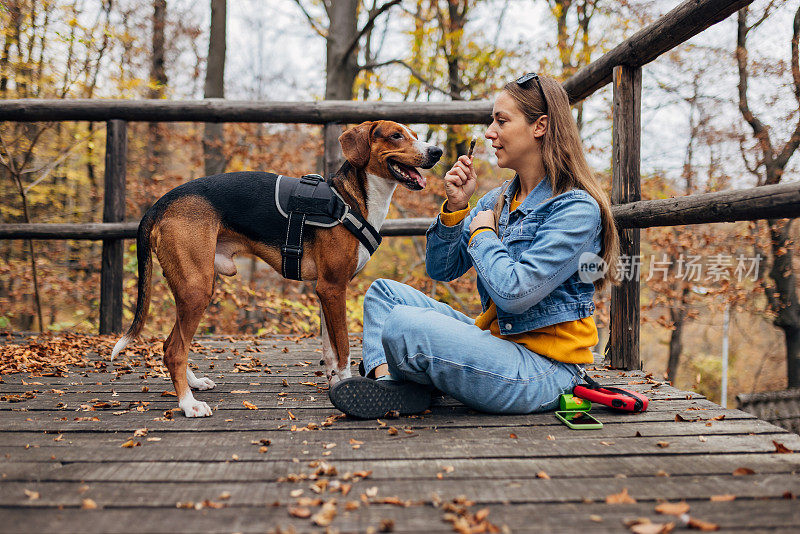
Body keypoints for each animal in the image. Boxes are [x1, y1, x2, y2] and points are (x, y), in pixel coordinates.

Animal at [111, 121, 444, 418]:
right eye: (396, 135)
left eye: (415, 135)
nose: (437, 151)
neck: (351, 201)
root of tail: (162, 202)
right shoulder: (334, 288)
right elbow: (345, 348)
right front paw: (348, 384)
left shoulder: (324, 291)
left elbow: (330, 349)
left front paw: (334, 381)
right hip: (196, 288)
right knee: (174, 350)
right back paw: (188, 404)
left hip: (191, 287)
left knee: (172, 343)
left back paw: (193, 384)